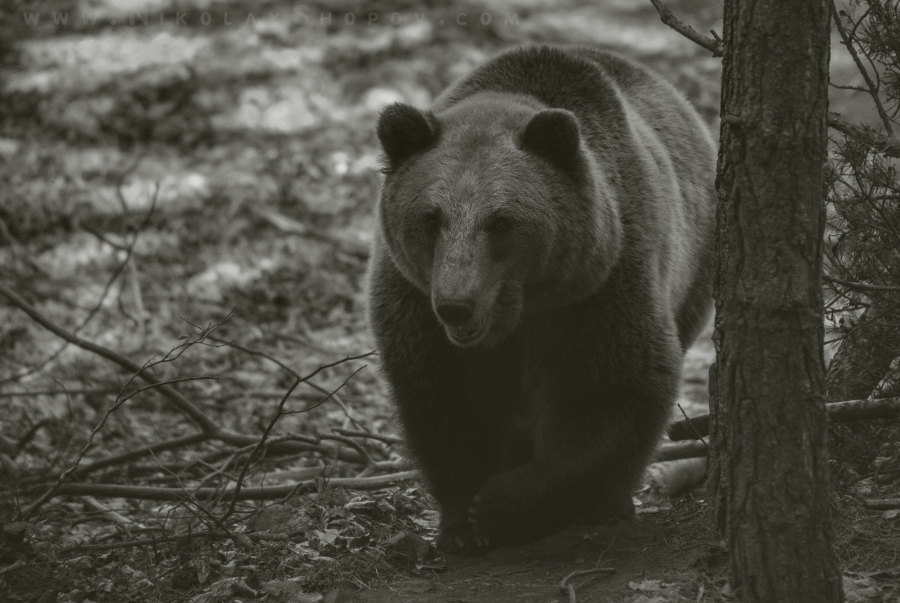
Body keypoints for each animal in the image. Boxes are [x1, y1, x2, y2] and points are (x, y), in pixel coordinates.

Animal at [366, 44, 716, 556]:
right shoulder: (415, 305)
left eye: (500, 221)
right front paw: (463, 523)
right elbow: (445, 404)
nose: (456, 304)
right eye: (431, 218)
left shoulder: (597, 289)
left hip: (695, 267)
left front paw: (506, 504)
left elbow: (613, 388)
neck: (515, 314)